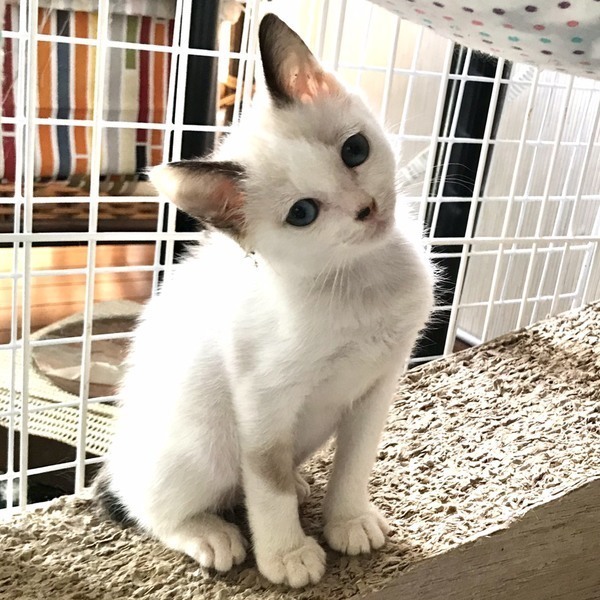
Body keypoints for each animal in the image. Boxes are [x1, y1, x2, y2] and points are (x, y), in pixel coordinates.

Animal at [95, 13, 434, 588]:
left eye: (355, 150)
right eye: (303, 213)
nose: (366, 209)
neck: (354, 279)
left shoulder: (379, 381)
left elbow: (356, 458)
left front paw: (347, 520)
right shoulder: (261, 400)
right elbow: (265, 481)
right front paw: (286, 556)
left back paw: (298, 487)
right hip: (203, 444)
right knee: (151, 507)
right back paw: (209, 533)